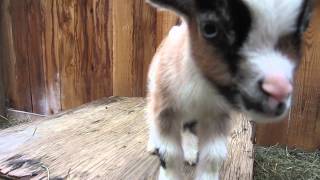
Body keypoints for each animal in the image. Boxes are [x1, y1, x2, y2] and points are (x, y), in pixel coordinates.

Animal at [144, 0, 312, 179]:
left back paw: (190, 153)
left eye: (302, 27)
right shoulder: (165, 109)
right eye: (209, 28)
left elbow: (213, 156)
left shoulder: (218, 115)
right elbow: (169, 154)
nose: (278, 91)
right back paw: (153, 145)